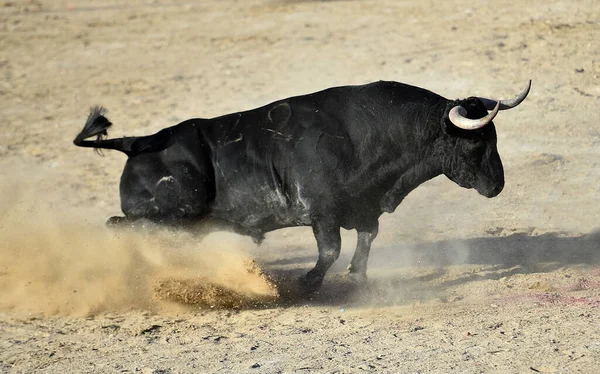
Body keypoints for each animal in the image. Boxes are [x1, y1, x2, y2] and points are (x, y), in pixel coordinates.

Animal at [74, 80, 528, 294]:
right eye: (477, 142)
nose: (498, 186)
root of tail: (138, 143)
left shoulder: (364, 208)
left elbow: (365, 240)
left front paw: (358, 278)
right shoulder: (322, 213)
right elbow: (330, 250)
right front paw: (306, 285)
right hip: (171, 212)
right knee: (122, 227)